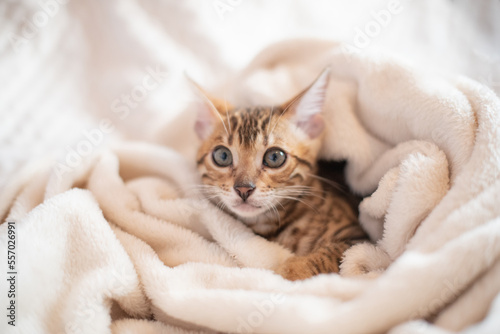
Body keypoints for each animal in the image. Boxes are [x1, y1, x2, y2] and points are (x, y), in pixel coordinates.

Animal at [191, 70, 368, 282]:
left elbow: (332, 254)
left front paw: (291, 272)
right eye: (222, 156)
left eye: (275, 157)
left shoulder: (359, 240)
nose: (244, 188)